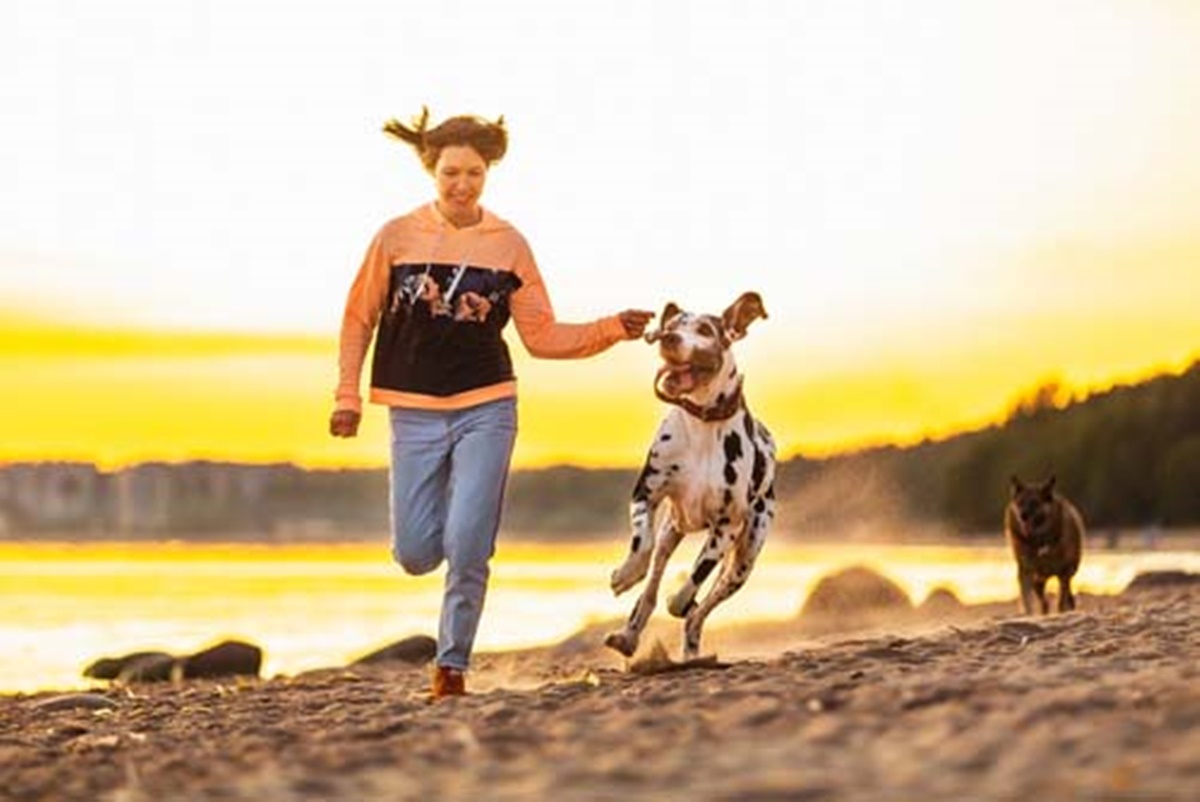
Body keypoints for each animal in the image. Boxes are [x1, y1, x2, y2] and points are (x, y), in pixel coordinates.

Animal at [600, 291, 777, 662]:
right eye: (671, 324)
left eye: (706, 329)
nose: (667, 338)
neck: (703, 424)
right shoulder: (646, 493)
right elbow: (642, 543)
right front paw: (625, 575)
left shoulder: (726, 526)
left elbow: (696, 578)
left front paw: (681, 601)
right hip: (673, 530)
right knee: (652, 583)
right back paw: (629, 635)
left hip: (745, 559)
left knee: (702, 608)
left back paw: (690, 637)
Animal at [1003, 475, 1089, 614]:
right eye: (1020, 503)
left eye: (1035, 503)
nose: (1023, 516)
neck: (1039, 542)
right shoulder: (1026, 572)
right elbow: (1027, 599)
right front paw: (1029, 614)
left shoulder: (1064, 572)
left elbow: (1061, 599)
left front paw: (1061, 611)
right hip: (1038, 580)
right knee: (1044, 601)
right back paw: (1044, 612)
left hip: (1068, 571)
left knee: (1065, 592)